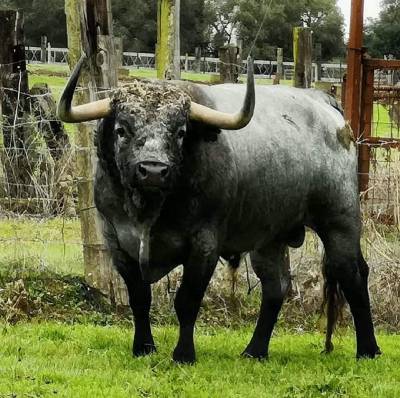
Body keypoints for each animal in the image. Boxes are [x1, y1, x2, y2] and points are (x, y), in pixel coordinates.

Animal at [57, 56, 380, 364]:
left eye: (180, 131)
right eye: (122, 129)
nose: (153, 170)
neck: (150, 212)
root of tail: (322, 102)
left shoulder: (204, 245)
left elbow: (187, 301)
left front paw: (183, 354)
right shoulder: (117, 243)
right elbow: (139, 299)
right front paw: (143, 348)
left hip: (340, 219)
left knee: (352, 274)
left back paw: (368, 349)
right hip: (270, 235)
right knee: (276, 285)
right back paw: (255, 350)